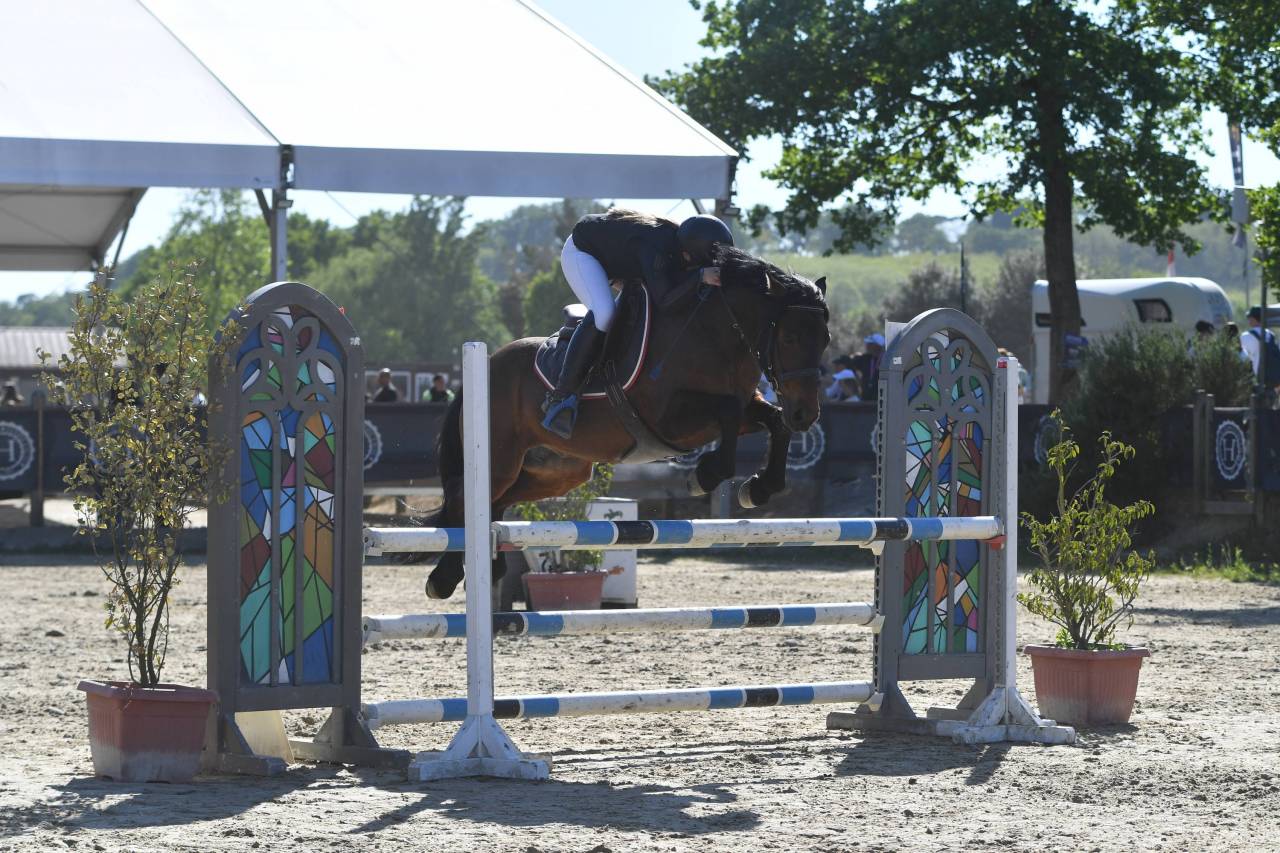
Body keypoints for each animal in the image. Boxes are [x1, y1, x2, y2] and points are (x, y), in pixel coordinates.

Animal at [417, 245, 832, 599]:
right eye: (790, 337)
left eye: (825, 340)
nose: (806, 414)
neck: (714, 334)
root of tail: (490, 361)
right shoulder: (670, 417)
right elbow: (727, 413)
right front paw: (706, 476)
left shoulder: (745, 408)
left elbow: (773, 422)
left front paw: (758, 488)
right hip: (500, 459)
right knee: (464, 499)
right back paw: (444, 578)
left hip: (557, 470)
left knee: (496, 502)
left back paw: (489, 569)